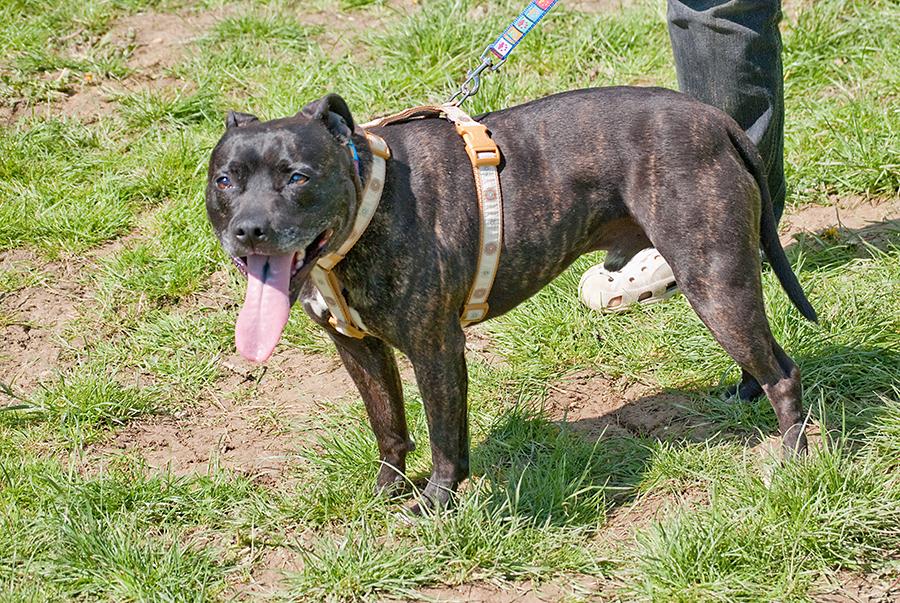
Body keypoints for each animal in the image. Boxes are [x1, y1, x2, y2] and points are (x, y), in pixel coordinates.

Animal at [207, 87, 820, 512]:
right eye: (224, 181)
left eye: (298, 177)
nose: (250, 230)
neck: (366, 204)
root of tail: (715, 120)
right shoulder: (359, 350)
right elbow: (389, 424)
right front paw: (388, 488)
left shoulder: (435, 349)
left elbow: (444, 436)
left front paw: (436, 503)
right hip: (722, 287)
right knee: (761, 357)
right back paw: (745, 395)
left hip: (713, 280)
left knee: (783, 372)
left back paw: (793, 461)